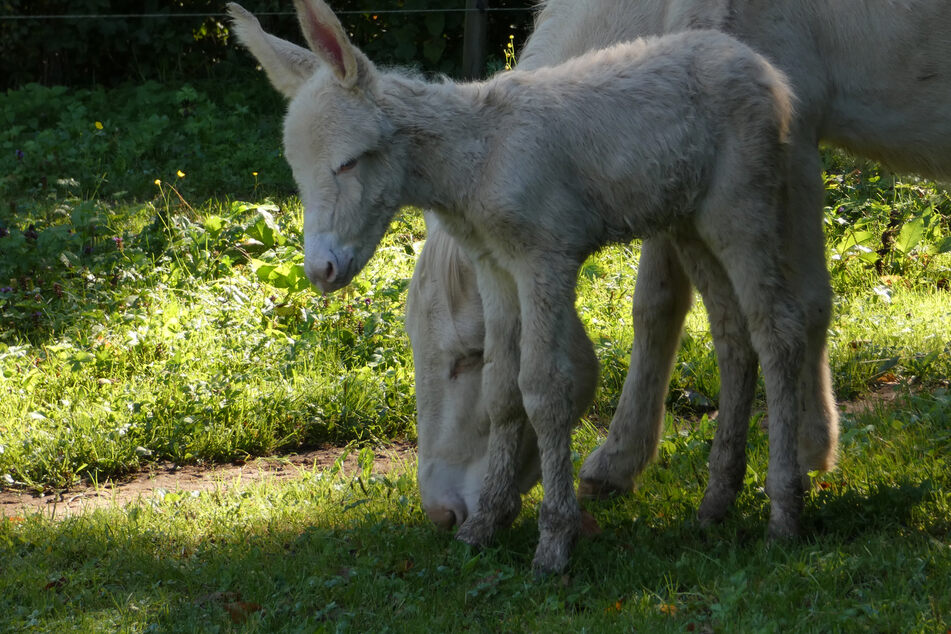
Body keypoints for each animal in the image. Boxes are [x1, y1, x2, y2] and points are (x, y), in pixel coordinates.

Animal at [227, 1, 808, 572]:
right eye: (298, 175)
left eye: (348, 163)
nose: (320, 272)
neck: (479, 158)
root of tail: (760, 68)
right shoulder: (496, 269)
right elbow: (503, 392)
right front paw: (483, 527)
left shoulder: (543, 261)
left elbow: (545, 391)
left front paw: (554, 543)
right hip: (691, 223)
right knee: (734, 338)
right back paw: (717, 503)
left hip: (742, 208)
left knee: (778, 332)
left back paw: (785, 512)